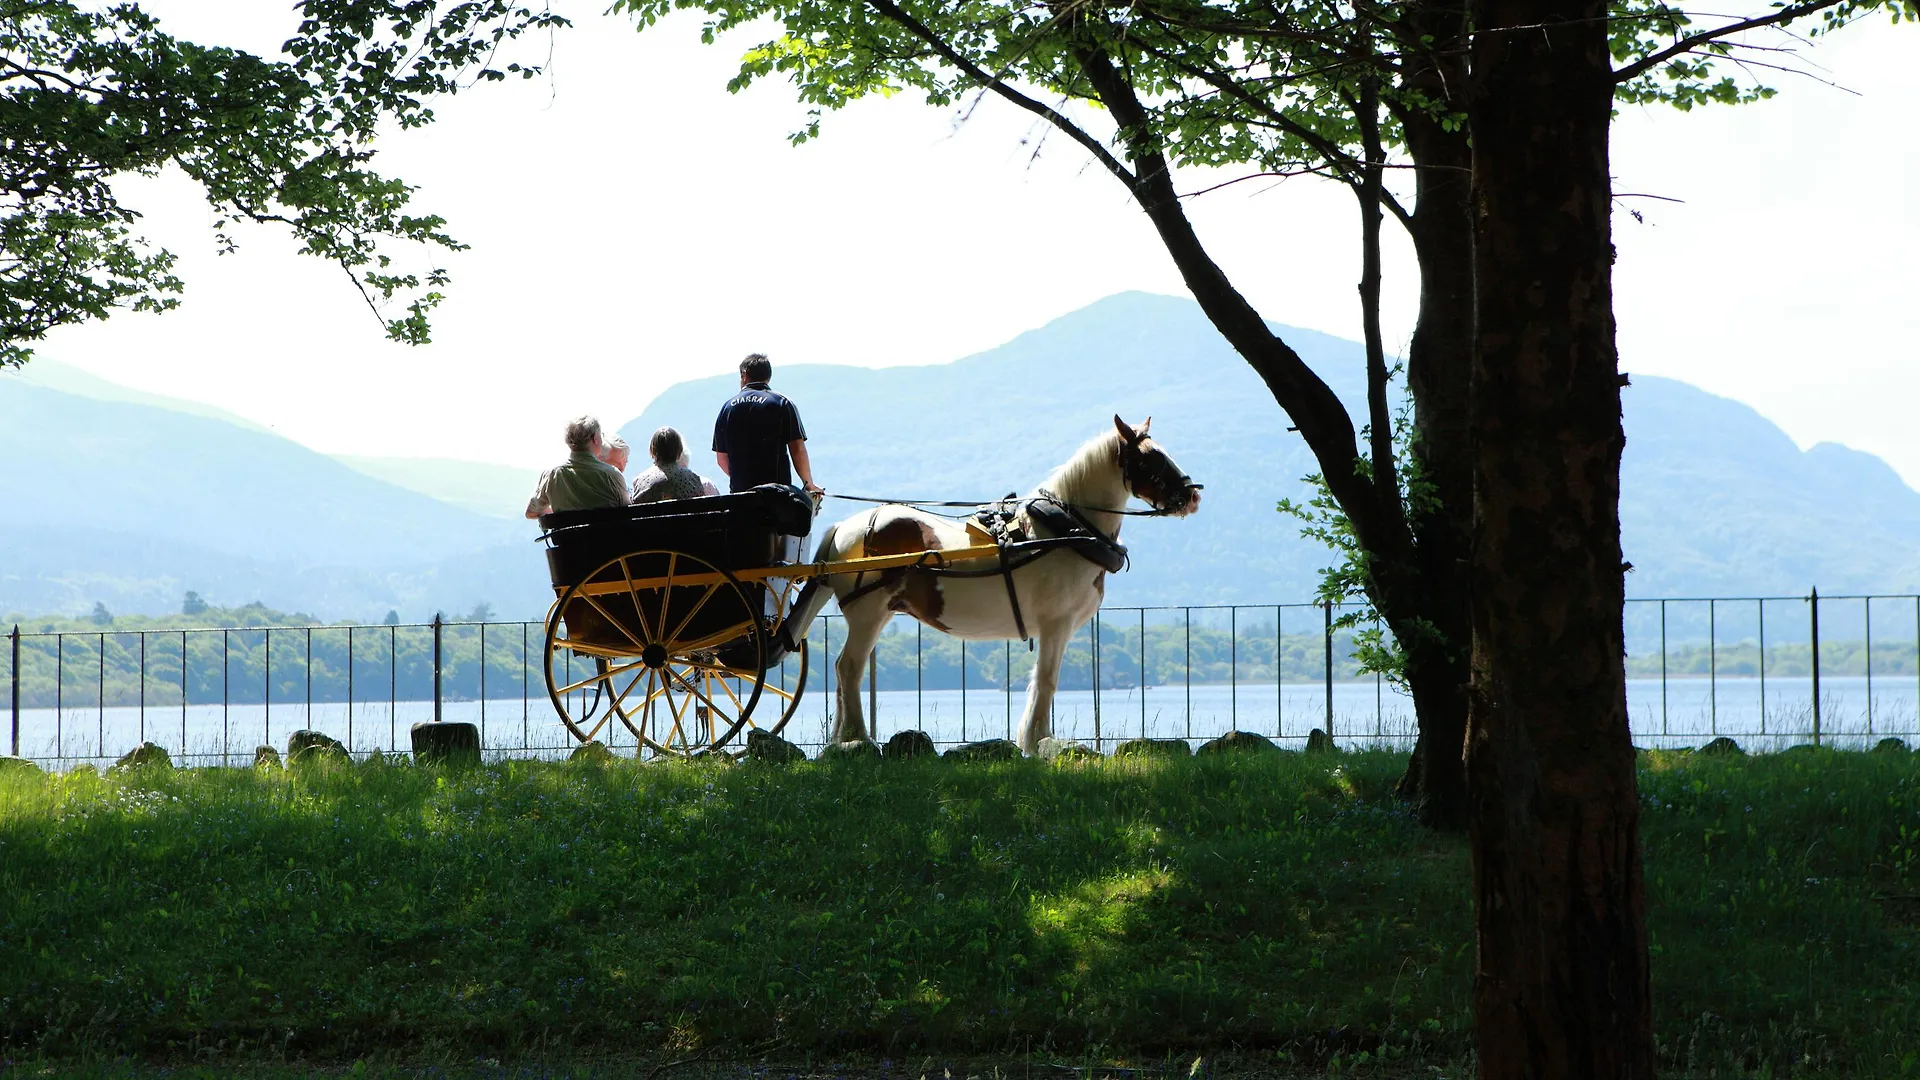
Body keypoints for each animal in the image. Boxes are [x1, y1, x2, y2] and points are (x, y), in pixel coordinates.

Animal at [779, 417, 1198, 753]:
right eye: (1151, 459)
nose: (1192, 495)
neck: (1064, 529)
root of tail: (844, 528)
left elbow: (1042, 682)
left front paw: (1035, 738)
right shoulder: (1056, 624)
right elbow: (1047, 680)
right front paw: (1040, 740)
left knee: (844, 670)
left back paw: (844, 737)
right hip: (869, 613)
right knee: (849, 668)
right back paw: (858, 737)